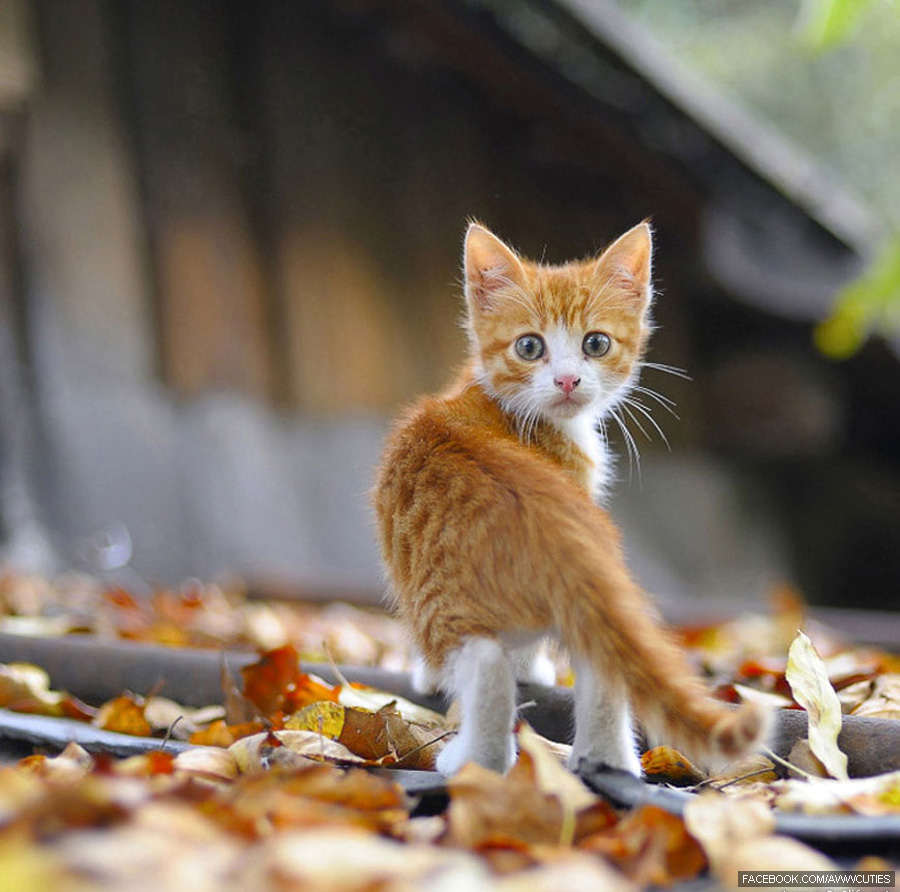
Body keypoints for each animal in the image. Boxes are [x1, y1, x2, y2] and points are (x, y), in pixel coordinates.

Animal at [370, 221, 768, 772]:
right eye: (529, 347)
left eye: (595, 343)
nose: (567, 379)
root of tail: (544, 520)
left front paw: (451, 674)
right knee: (601, 661)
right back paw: (609, 760)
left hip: (437, 599)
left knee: (484, 663)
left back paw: (475, 760)